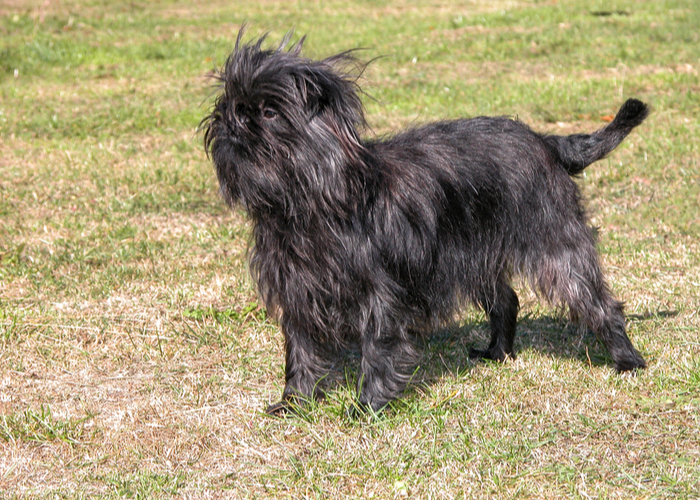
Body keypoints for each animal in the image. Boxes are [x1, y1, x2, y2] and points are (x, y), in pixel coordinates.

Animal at [200, 30, 648, 414]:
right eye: (227, 104)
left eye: (268, 111)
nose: (231, 119)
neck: (312, 202)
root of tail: (545, 141)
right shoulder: (297, 290)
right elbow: (300, 350)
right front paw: (295, 401)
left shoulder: (379, 294)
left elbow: (378, 345)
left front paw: (369, 405)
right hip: (478, 255)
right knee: (507, 300)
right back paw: (497, 353)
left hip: (556, 246)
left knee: (598, 301)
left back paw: (627, 360)